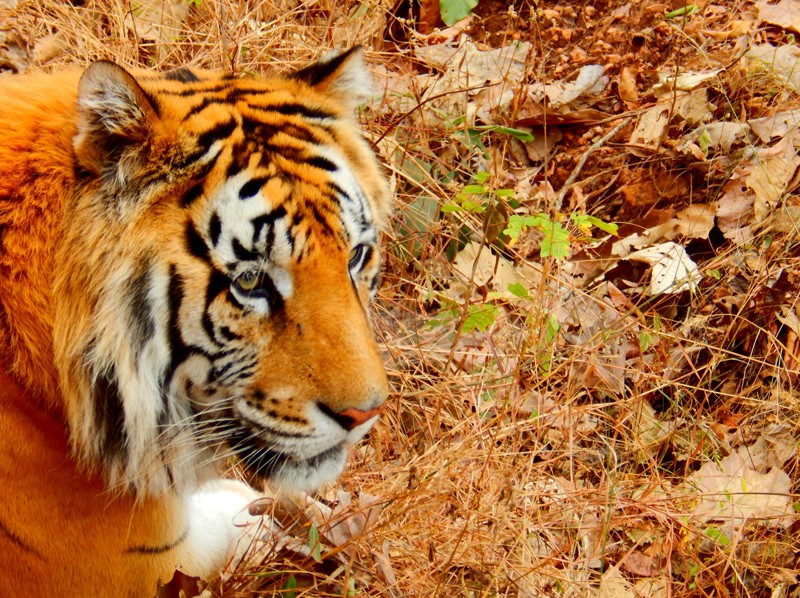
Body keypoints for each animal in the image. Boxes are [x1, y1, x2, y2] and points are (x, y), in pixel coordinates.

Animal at [0, 48, 390, 598]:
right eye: (250, 281)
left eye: (355, 256)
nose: (364, 416)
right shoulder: (140, 563)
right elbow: (232, 528)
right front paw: (260, 514)